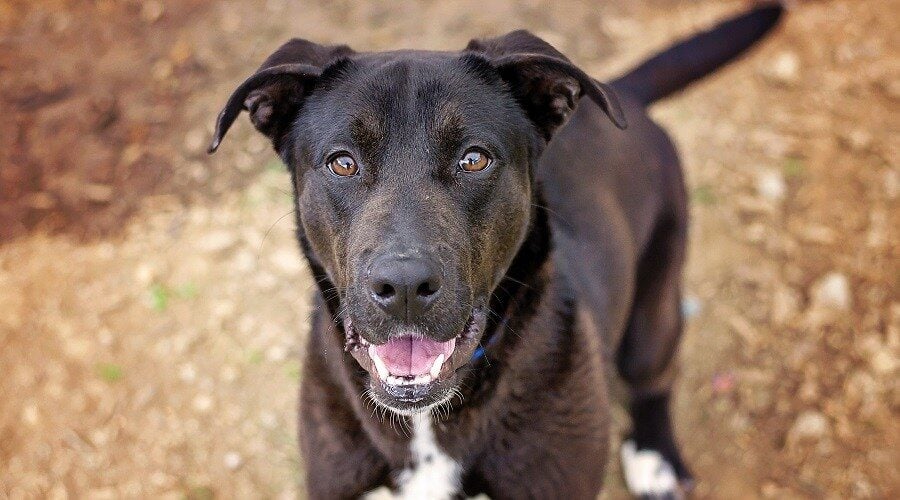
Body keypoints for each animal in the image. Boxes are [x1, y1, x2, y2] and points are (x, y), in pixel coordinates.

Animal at [209, 4, 780, 500]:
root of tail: (626, 92)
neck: (426, 425)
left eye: (474, 159)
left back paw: (655, 458)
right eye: (342, 163)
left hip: (654, 306)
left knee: (654, 381)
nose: (404, 287)